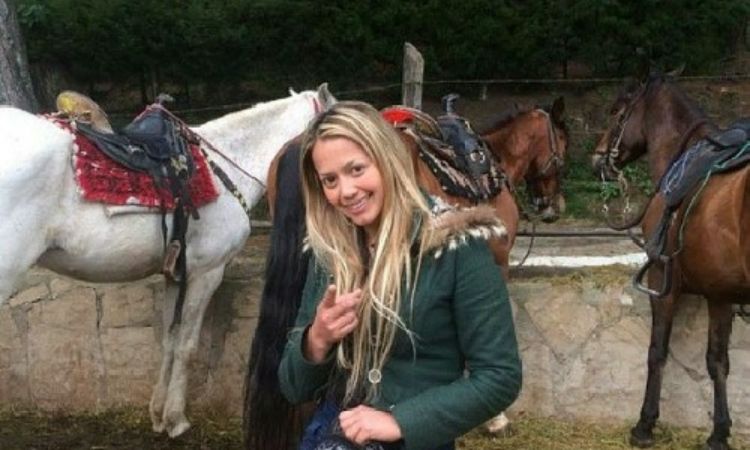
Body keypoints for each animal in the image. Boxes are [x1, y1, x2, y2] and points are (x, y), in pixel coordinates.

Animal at [0, 83, 335, 438]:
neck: (224, 170)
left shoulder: (176, 275)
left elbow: (169, 342)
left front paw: (159, 414)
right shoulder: (207, 273)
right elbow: (187, 345)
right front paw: (177, 419)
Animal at [591, 73, 750, 450]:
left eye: (617, 112)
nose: (598, 158)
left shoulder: (663, 282)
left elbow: (657, 351)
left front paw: (645, 424)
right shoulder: (720, 294)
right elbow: (717, 361)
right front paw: (719, 432)